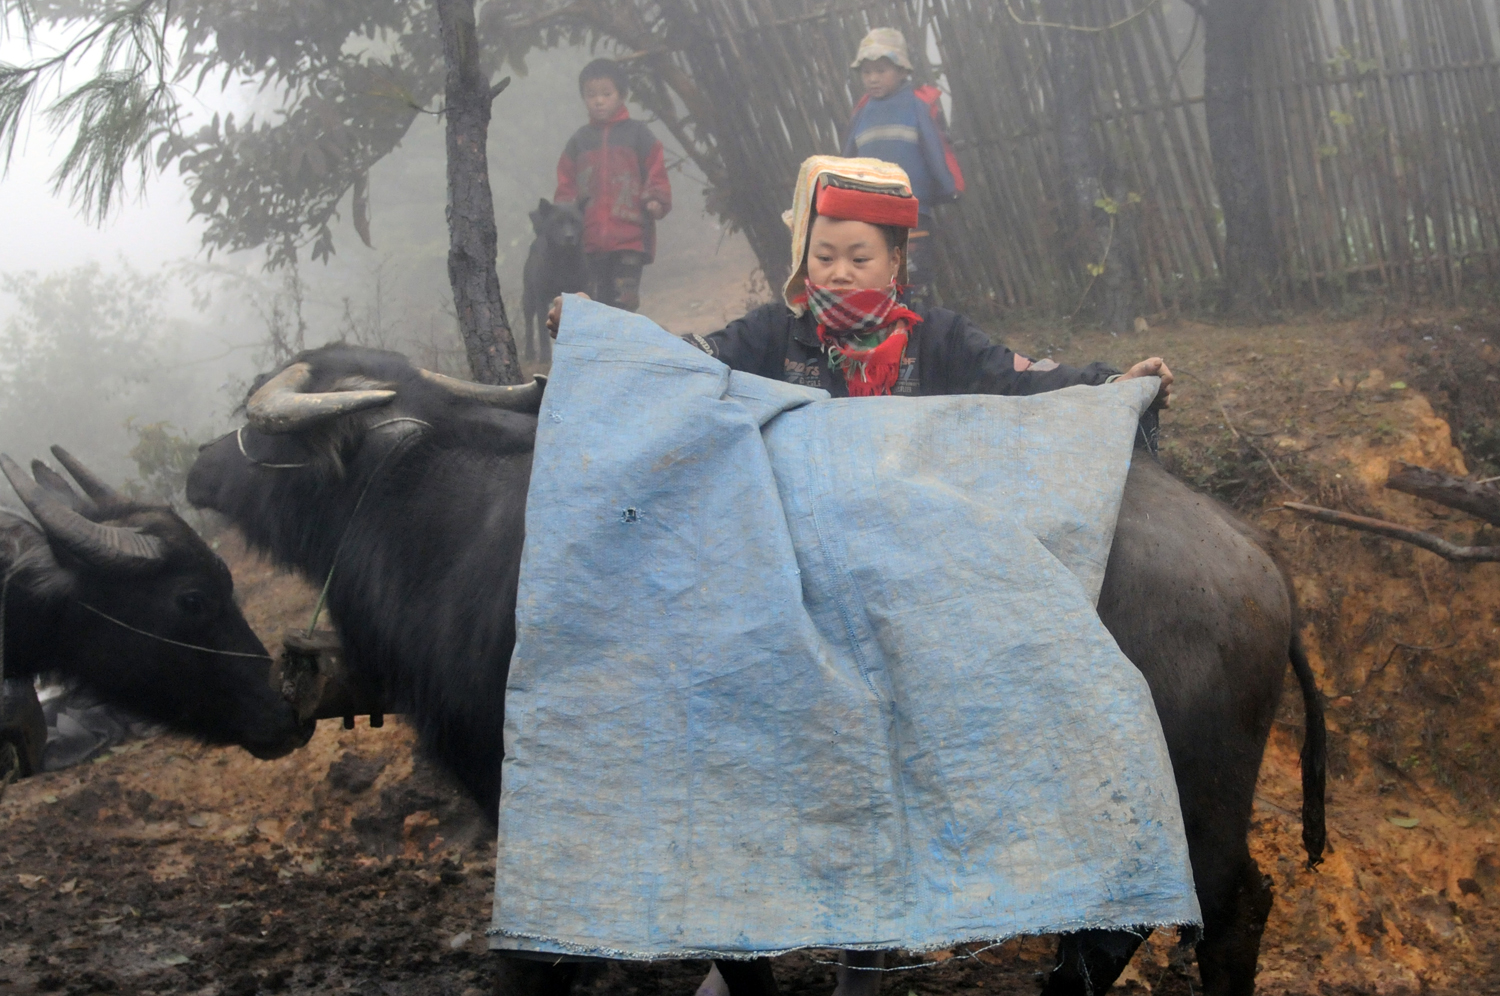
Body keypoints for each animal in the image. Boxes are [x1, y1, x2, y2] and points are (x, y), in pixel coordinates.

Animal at [187, 348, 1326, 996]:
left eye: (251, 423)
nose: (195, 465)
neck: (457, 520)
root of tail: (1257, 558)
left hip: (1185, 804)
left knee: (1204, 921)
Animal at [525, 196, 588, 364]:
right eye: (557, 222)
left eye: (575, 221)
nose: (569, 236)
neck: (563, 263)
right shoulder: (540, 298)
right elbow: (541, 330)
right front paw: (545, 356)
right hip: (529, 298)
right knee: (529, 324)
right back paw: (530, 354)